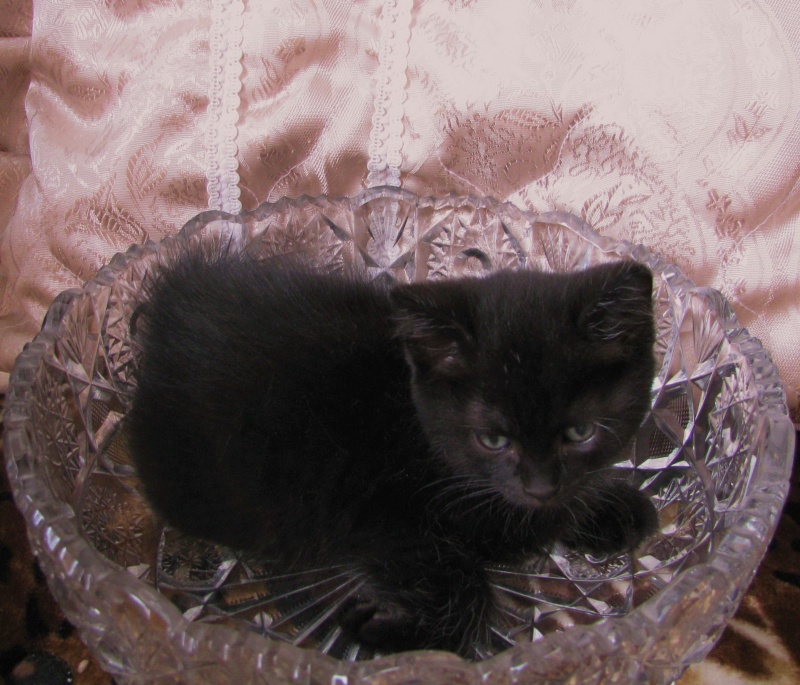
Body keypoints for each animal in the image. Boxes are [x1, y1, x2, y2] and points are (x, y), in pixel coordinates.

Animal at [127, 250, 659, 659]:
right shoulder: (375, 515)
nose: (540, 486)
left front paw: (615, 509)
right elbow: (461, 584)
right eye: (493, 440)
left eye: (581, 432)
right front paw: (386, 630)